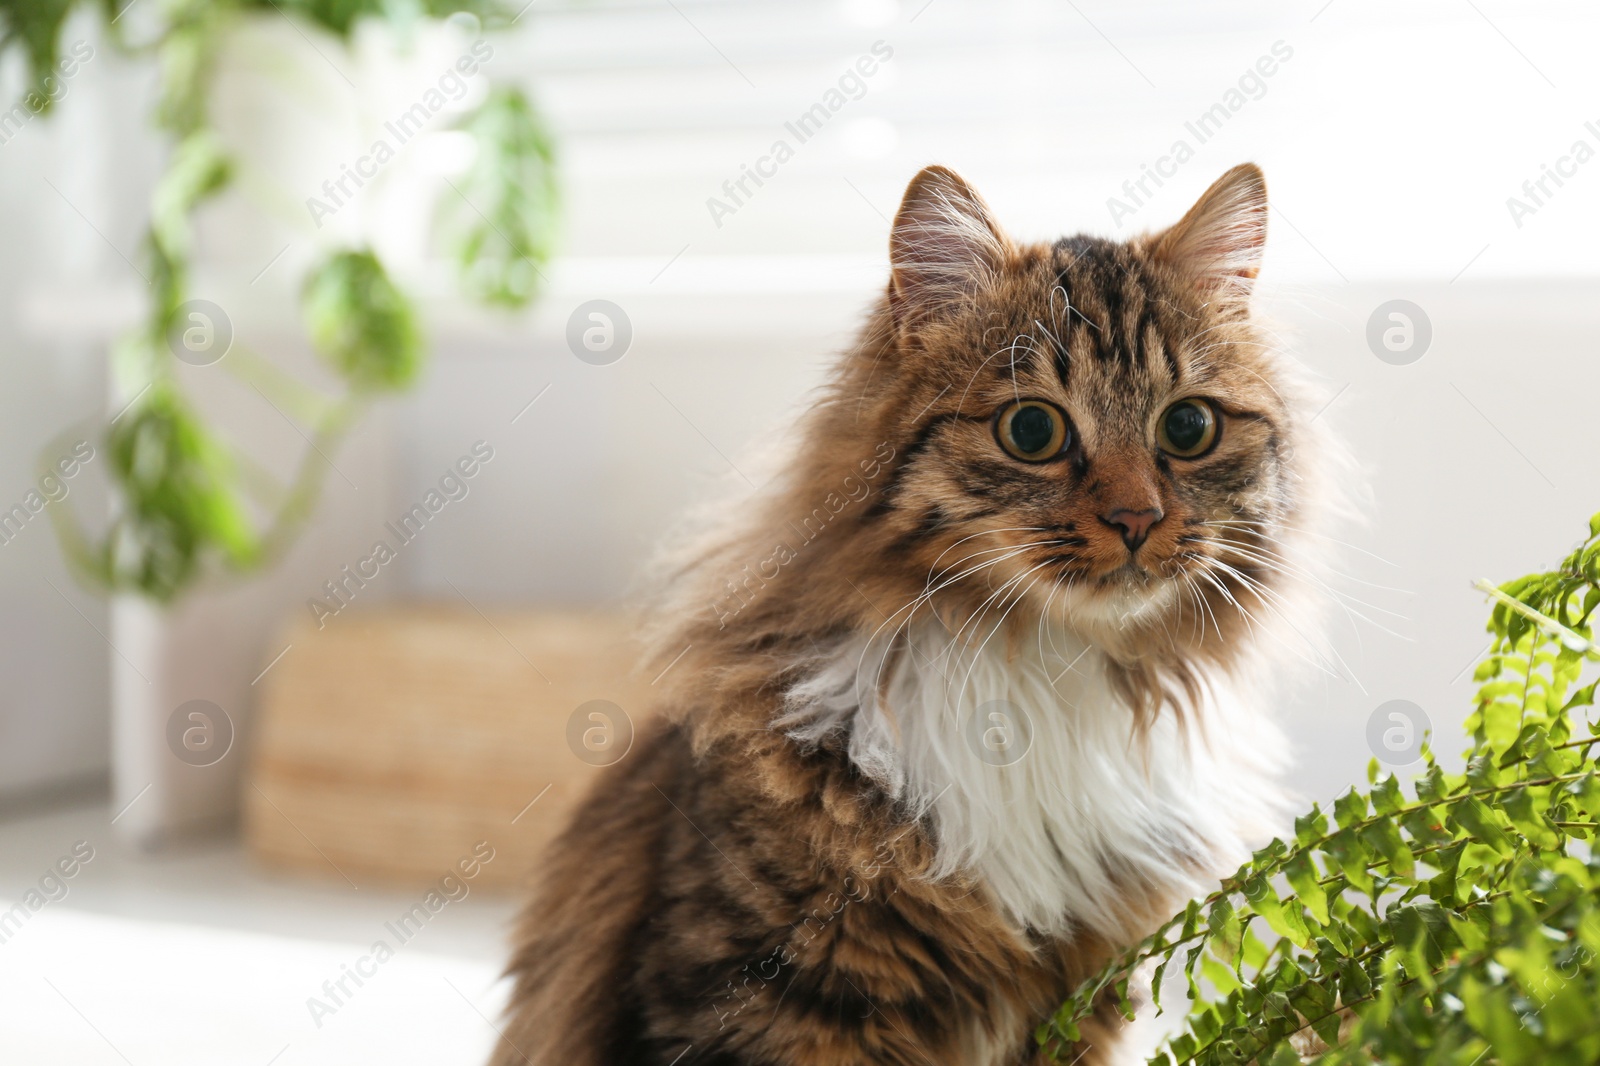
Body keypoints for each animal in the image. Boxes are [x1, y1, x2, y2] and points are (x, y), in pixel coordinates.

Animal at [492, 160, 1331, 1062]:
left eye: (1188, 426)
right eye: (1031, 430)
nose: (1137, 519)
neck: (1041, 670)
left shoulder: (1088, 1000)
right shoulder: (750, 993)